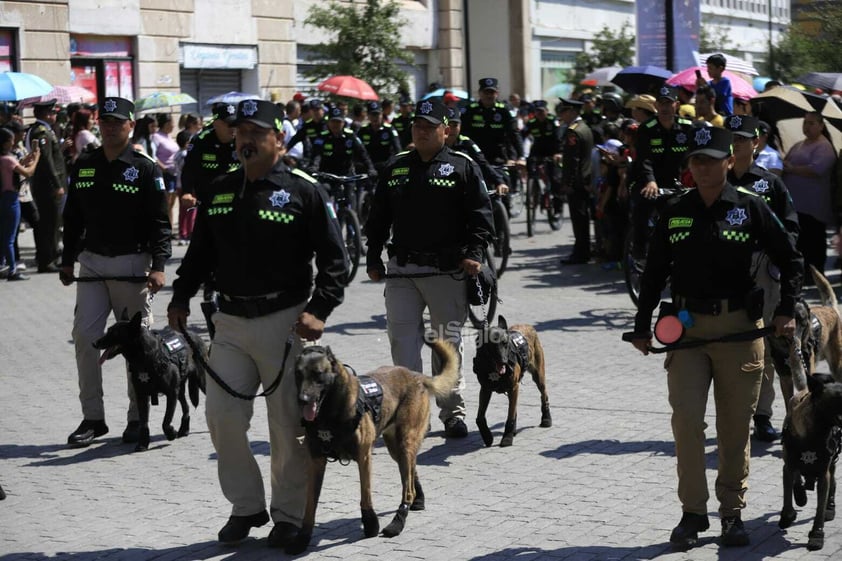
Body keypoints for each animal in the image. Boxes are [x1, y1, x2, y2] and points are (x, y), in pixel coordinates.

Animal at [93, 310, 205, 450]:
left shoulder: (171, 393)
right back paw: (184, 429)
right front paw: (142, 443)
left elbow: (166, 420)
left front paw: (170, 433)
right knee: (186, 407)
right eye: (108, 330)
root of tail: (192, 334)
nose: (94, 343)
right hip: (179, 391)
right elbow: (144, 423)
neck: (146, 359)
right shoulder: (142, 396)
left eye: (114, 333)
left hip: (200, 382)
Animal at [288, 336, 460, 552]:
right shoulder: (316, 461)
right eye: (298, 374)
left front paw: (370, 524)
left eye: (318, 374)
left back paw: (397, 522)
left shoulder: (364, 457)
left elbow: (365, 493)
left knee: (407, 487)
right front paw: (303, 537)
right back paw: (417, 499)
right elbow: (310, 504)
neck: (329, 414)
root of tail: (417, 376)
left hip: (405, 442)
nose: (302, 400)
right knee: (410, 472)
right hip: (396, 448)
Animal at [472, 316, 552, 446]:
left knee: (543, 395)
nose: (504, 362)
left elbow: (510, 416)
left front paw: (507, 437)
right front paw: (487, 436)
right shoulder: (485, 390)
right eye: (492, 345)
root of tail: (527, 325)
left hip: (538, 376)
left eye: (505, 343)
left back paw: (546, 418)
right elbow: (480, 417)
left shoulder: (513, 388)